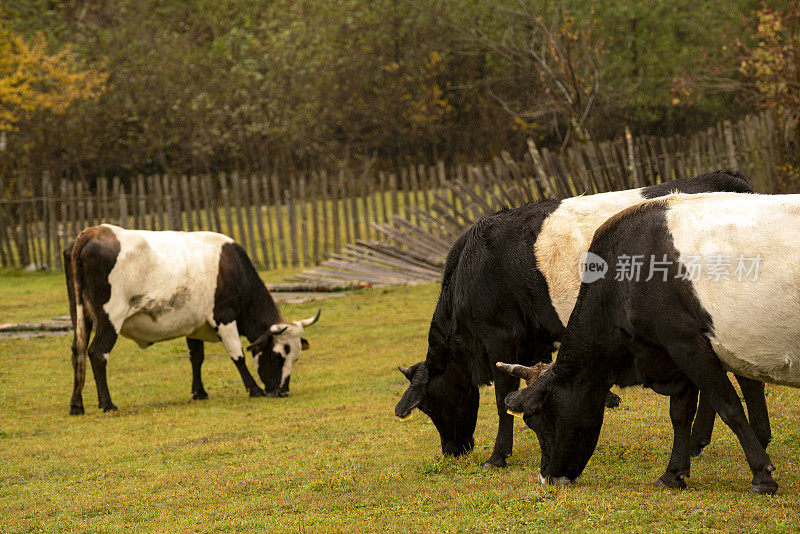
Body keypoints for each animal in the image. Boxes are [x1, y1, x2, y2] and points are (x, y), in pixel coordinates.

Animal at [63, 224, 318, 416]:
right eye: (277, 355)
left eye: (296, 357)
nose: (282, 392)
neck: (234, 270)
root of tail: (92, 232)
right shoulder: (224, 317)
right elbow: (237, 356)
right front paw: (254, 389)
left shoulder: (193, 325)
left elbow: (197, 358)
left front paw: (199, 393)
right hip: (110, 317)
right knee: (97, 353)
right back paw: (108, 404)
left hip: (81, 316)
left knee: (78, 352)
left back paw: (77, 405)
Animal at [394, 171, 768, 468]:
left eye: (429, 405)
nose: (452, 450)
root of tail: (728, 178)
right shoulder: (534, 341)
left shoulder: (500, 337)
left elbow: (503, 400)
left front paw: (497, 457)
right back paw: (705, 442)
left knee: (744, 377)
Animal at [496, 192, 800, 494]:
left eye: (537, 419)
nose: (546, 477)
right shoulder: (672, 353)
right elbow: (680, 414)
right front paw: (673, 475)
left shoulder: (686, 343)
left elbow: (729, 407)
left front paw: (762, 475)